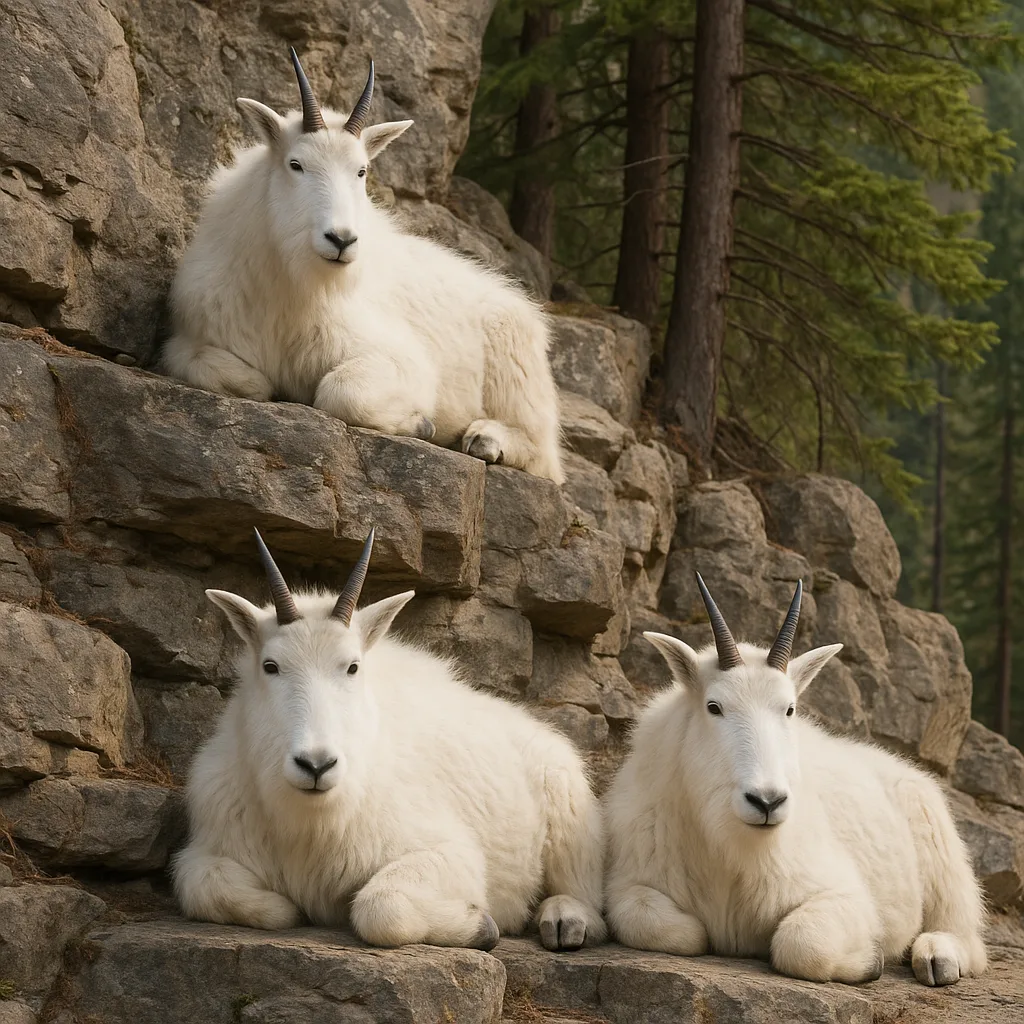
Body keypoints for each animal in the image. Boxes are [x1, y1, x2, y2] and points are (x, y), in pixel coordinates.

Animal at [162, 51, 564, 483]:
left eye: (362, 170)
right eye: (296, 164)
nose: (341, 240)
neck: (293, 287)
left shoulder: (397, 360)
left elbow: (339, 391)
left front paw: (422, 423)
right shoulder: (194, 337)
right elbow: (234, 376)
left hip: (517, 377)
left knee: (545, 457)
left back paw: (486, 439)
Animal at [174, 528, 605, 951]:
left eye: (352, 666)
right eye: (270, 666)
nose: (316, 765)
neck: (314, 820)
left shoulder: (447, 852)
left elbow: (379, 908)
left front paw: (481, 927)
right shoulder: (212, 844)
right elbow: (208, 889)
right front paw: (287, 907)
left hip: (566, 801)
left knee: (583, 889)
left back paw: (565, 920)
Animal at [604, 574, 986, 987]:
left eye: (789, 708)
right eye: (714, 706)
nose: (767, 802)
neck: (731, 846)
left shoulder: (841, 893)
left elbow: (801, 944)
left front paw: (872, 961)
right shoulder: (632, 881)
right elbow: (667, 926)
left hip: (940, 848)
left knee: (963, 931)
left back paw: (937, 957)